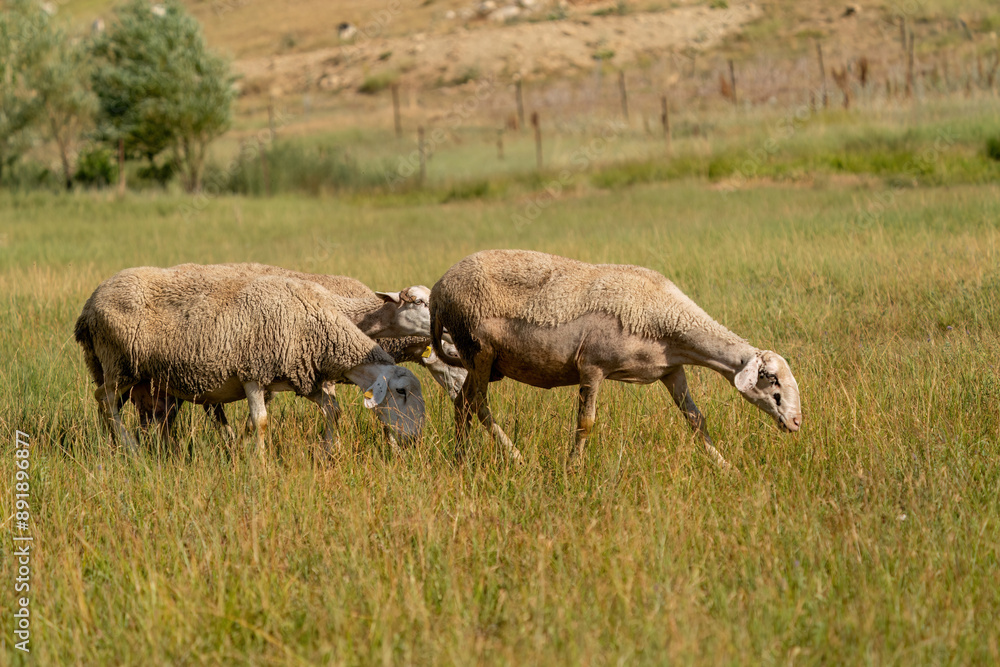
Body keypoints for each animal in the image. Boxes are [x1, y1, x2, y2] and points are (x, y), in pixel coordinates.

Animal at [75, 267, 426, 455]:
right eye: (402, 392)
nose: (415, 439)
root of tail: (90, 303)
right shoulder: (254, 373)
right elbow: (260, 422)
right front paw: (258, 463)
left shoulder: (303, 375)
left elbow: (332, 410)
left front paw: (330, 451)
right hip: (119, 365)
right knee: (104, 401)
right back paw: (129, 448)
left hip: (142, 379)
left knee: (141, 413)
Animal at [430, 249, 802, 468]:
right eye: (771, 379)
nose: (797, 423)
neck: (665, 318)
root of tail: (438, 289)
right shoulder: (592, 366)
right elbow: (586, 423)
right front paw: (573, 469)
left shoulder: (672, 370)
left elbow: (696, 420)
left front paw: (726, 467)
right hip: (478, 348)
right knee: (478, 404)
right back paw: (517, 458)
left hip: (478, 359)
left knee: (462, 402)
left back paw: (460, 460)